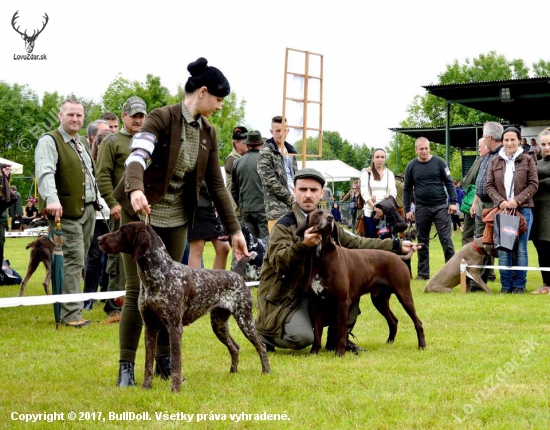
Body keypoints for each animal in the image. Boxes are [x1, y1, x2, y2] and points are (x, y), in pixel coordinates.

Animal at [100, 222, 272, 394]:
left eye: (122, 231)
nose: (99, 239)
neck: (157, 273)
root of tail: (236, 274)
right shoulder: (150, 327)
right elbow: (148, 364)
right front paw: (145, 387)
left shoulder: (175, 327)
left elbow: (176, 363)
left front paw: (175, 390)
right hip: (219, 324)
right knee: (235, 347)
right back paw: (233, 372)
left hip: (244, 320)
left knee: (261, 346)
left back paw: (266, 372)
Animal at [298, 209, 426, 356]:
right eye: (318, 213)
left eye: (330, 213)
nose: (330, 218)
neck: (321, 255)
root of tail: (398, 257)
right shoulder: (317, 303)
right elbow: (317, 333)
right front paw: (314, 352)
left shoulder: (342, 302)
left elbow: (341, 332)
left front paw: (340, 353)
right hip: (379, 300)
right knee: (393, 320)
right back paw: (389, 342)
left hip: (403, 295)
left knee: (418, 322)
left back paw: (422, 345)